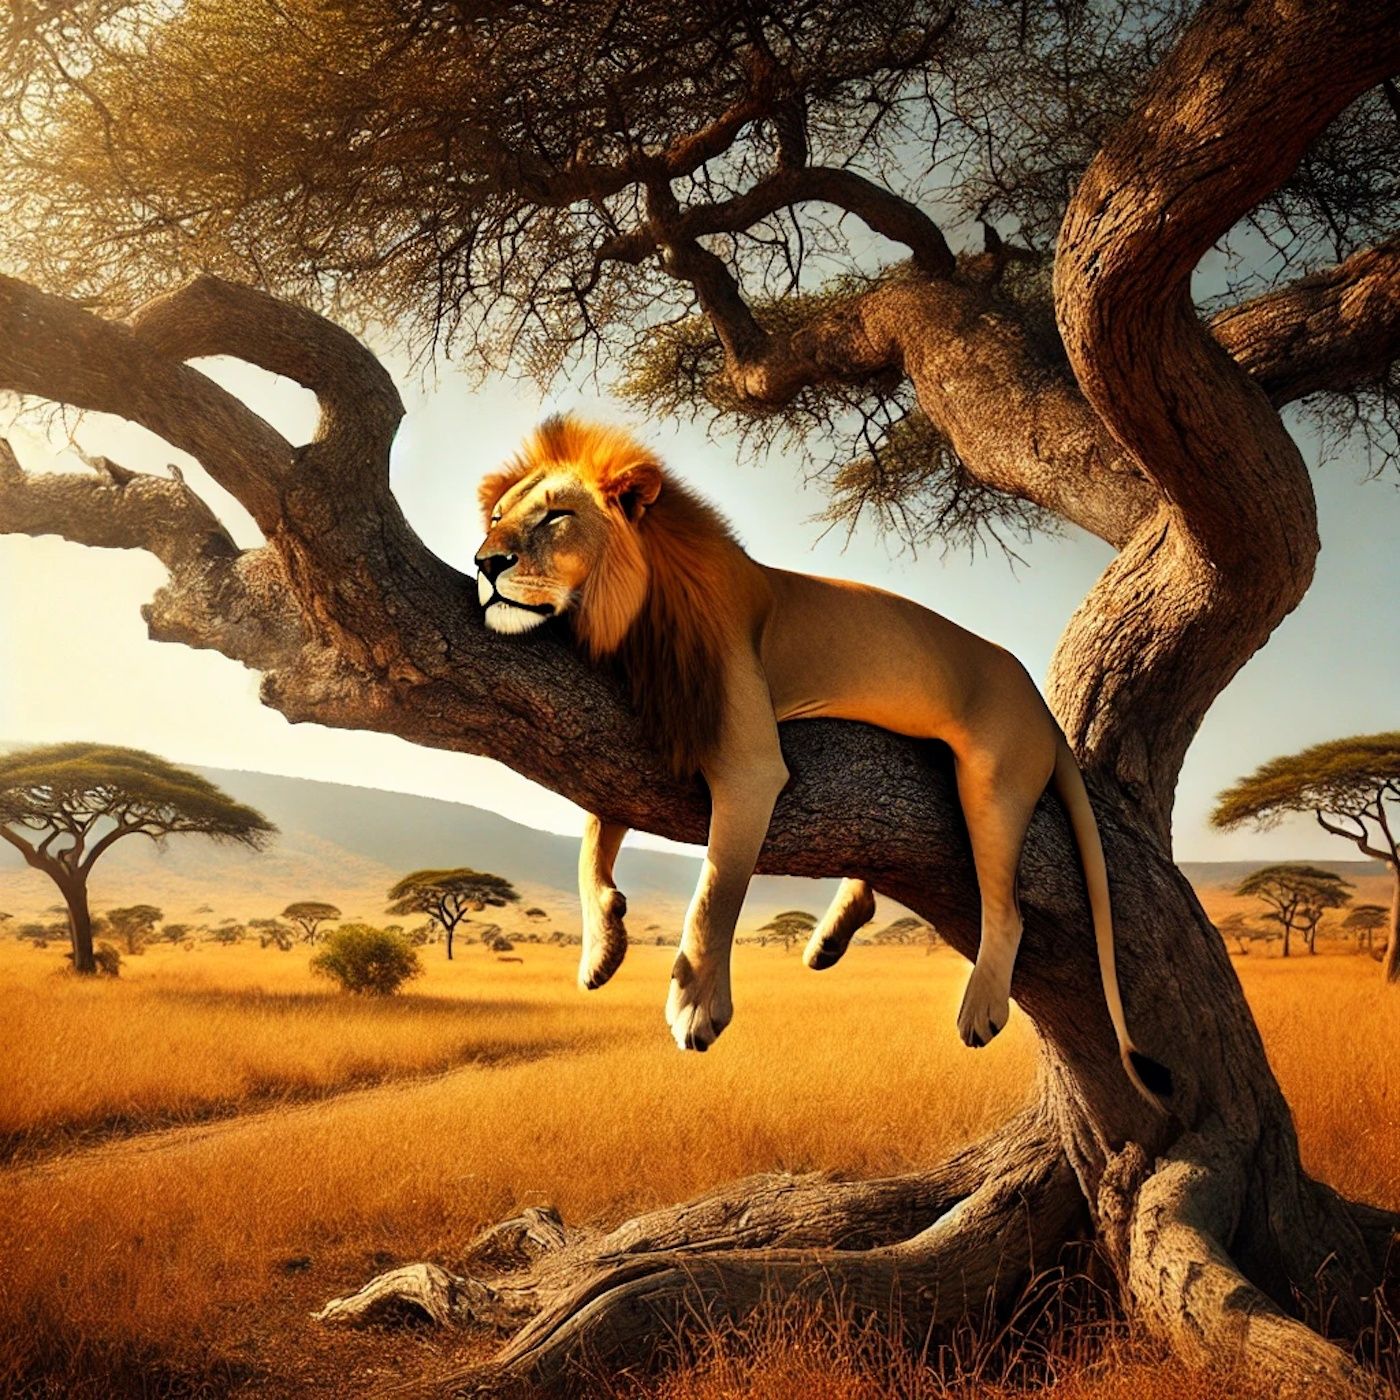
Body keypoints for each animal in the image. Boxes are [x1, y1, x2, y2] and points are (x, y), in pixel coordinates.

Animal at [474, 415, 1171, 1107]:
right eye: (497, 517)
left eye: (555, 516)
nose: (484, 562)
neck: (633, 618)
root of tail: (1039, 702)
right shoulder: (649, 734)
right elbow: (591, 837)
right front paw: (600, 948)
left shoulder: (748, 760)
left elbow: (713, 893)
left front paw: (696, 1006)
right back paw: (832, 937)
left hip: (992, 781)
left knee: (1008, 909)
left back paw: (980, 1007)